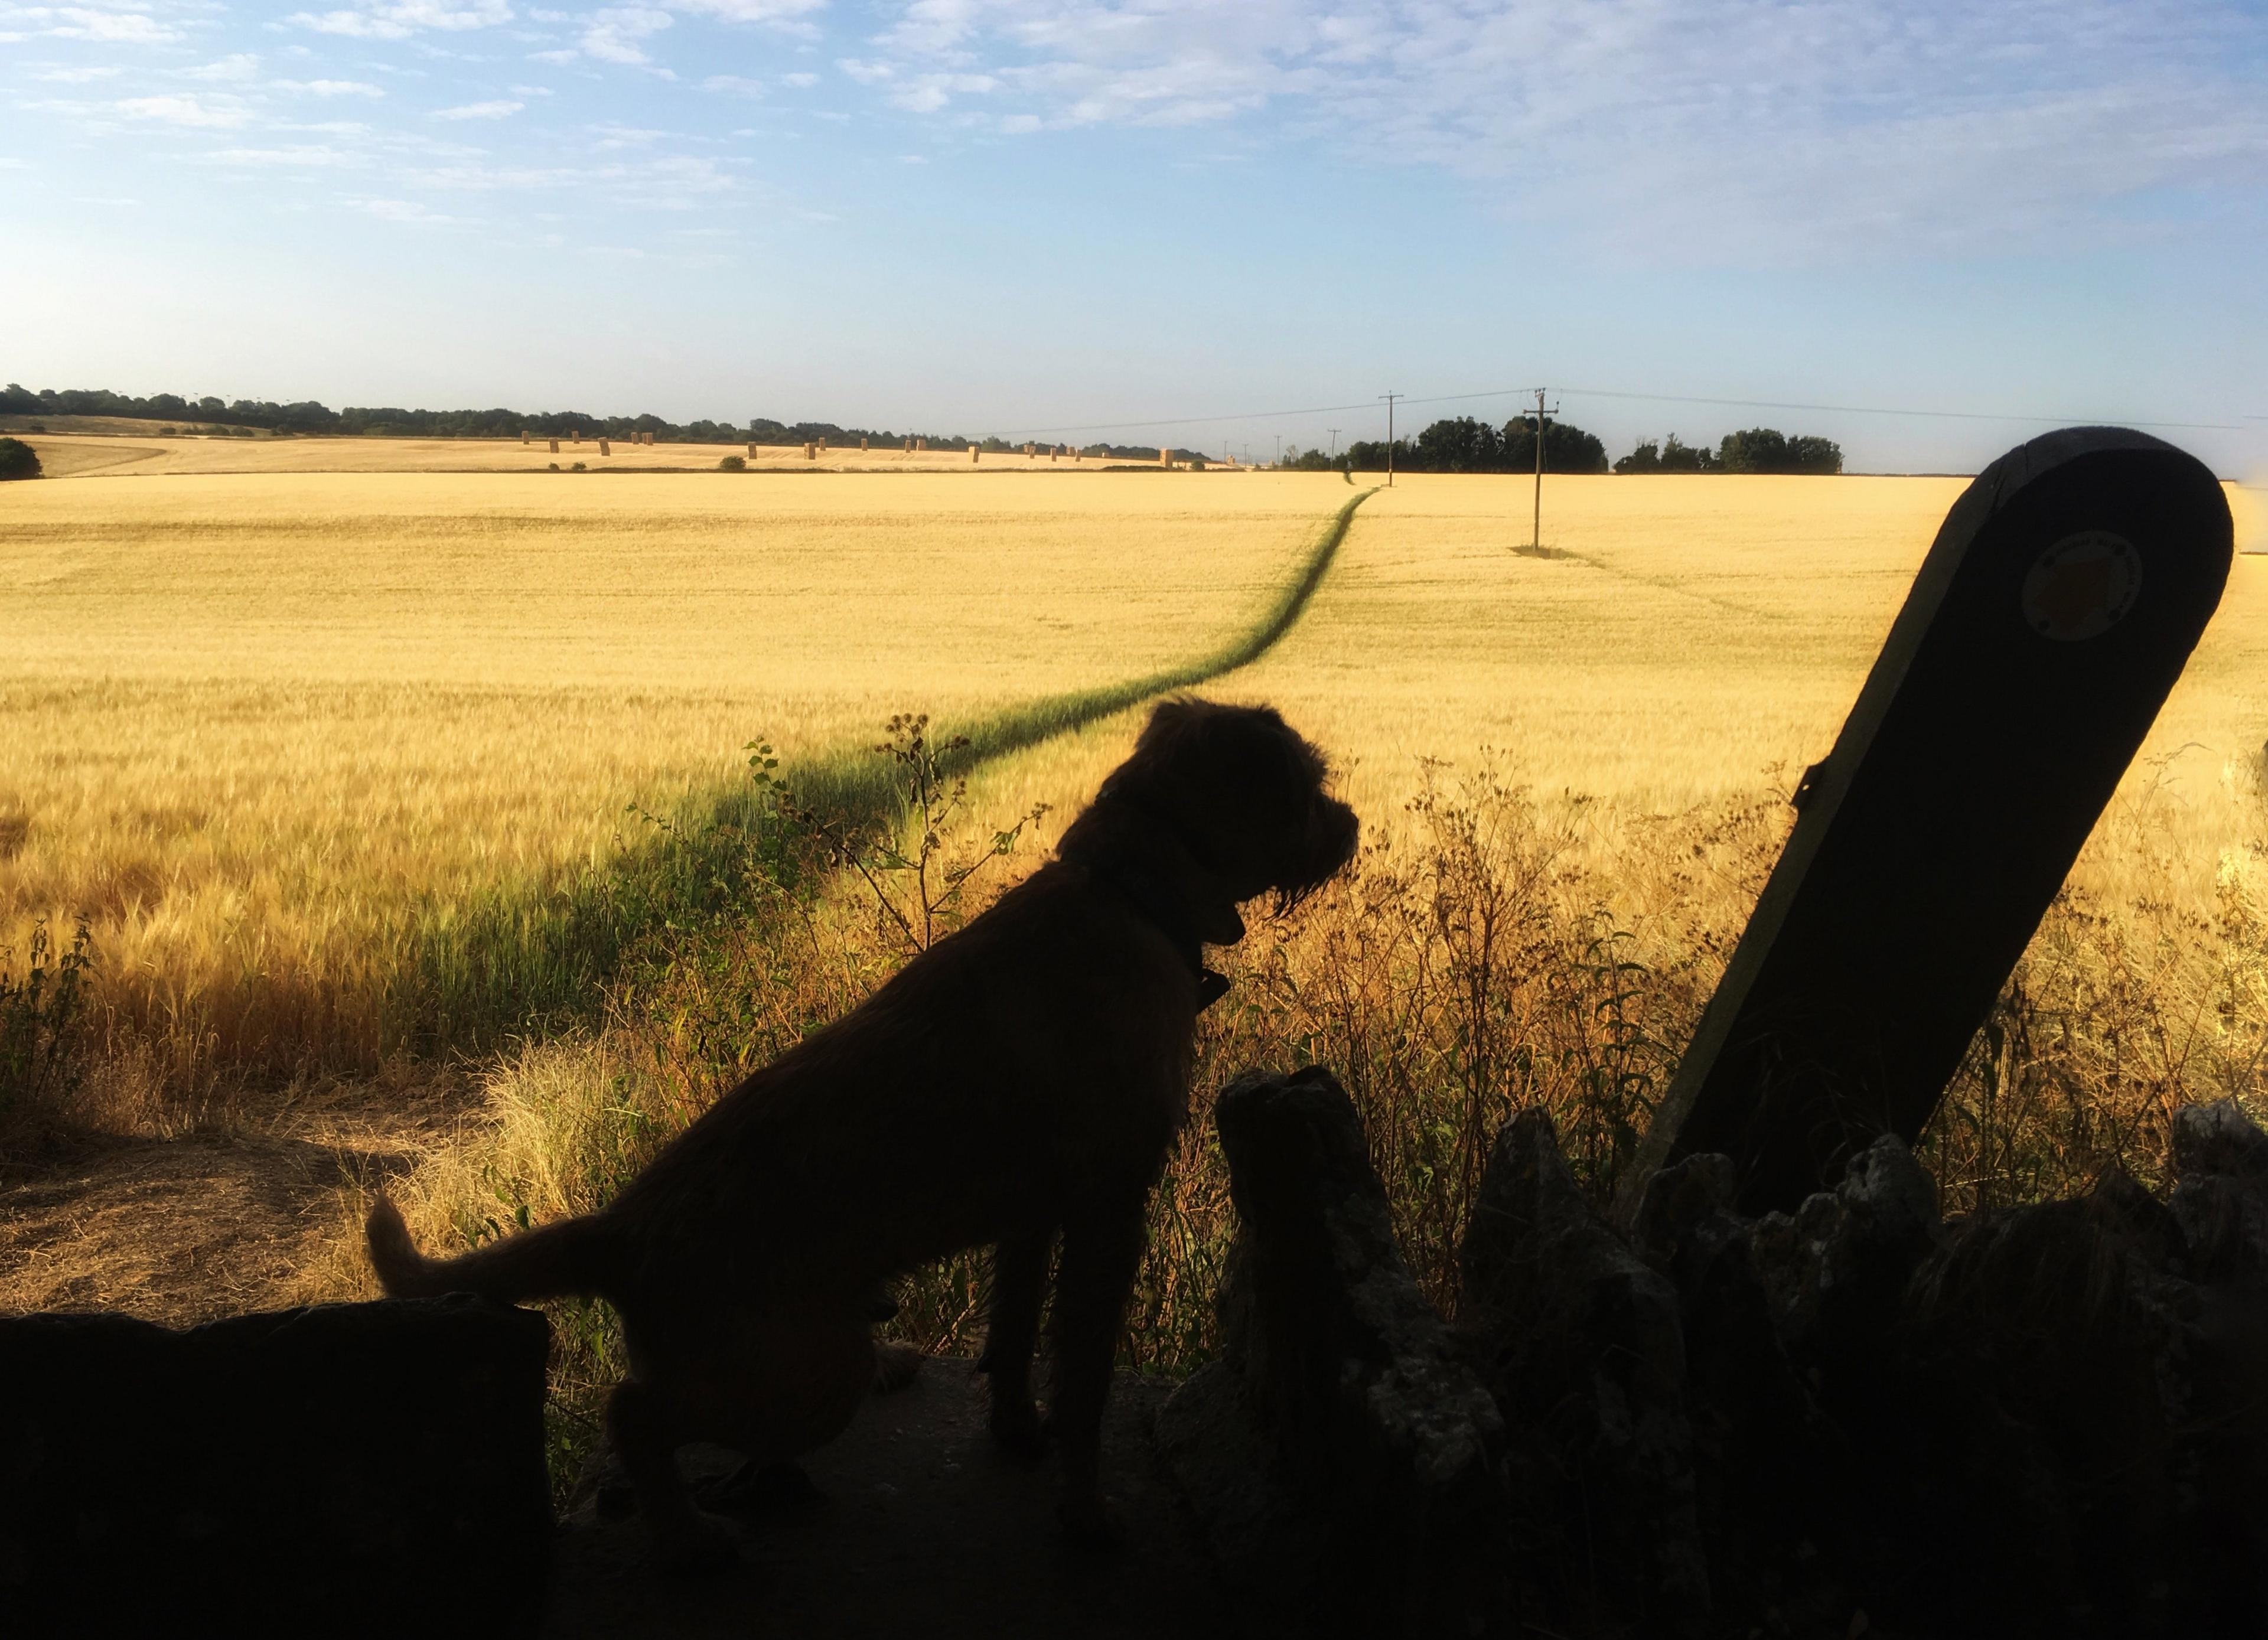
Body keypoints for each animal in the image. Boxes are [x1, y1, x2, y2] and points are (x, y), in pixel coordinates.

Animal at [365, 699, 1351, 1569]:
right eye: (1306, 781)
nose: (1348, 821)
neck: (1129, 895)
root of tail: (622, 1230)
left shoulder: (1034, 1215)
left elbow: (1014, 1332)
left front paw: (1016, 1429)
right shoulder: (1110, 1210)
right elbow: (1084, 1381)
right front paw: (1086, 1510)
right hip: (807, 1372)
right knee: (634, 1413)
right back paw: (688, 1536)